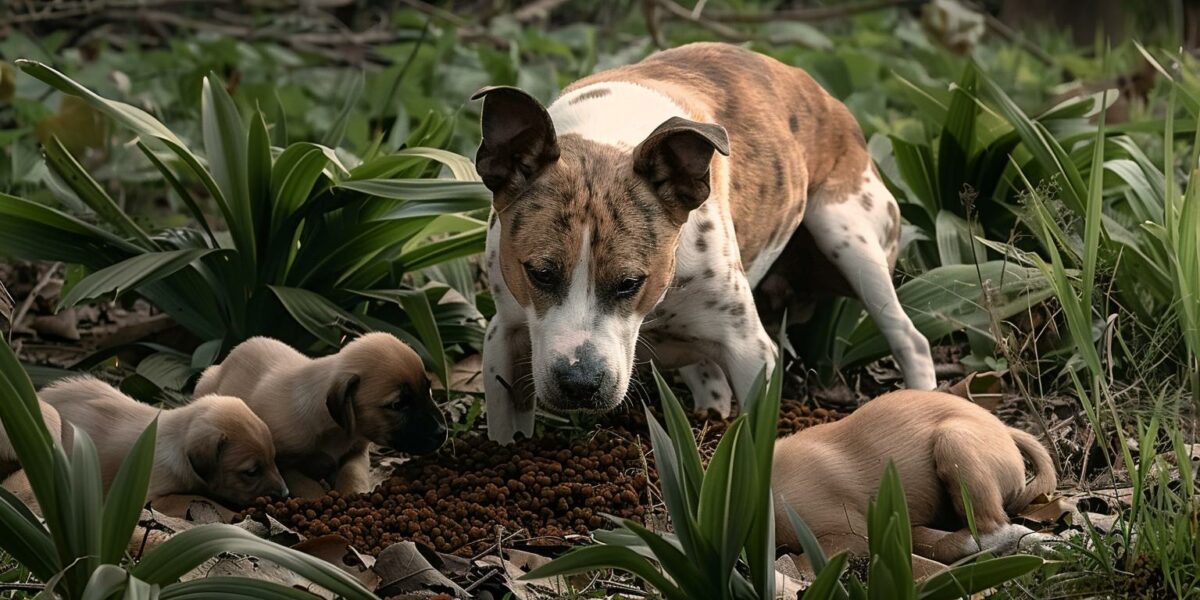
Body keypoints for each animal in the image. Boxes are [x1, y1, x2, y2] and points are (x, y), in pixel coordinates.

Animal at [196, 333, 451, 496]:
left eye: (428, 389)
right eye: (398, 405)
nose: (442, 432)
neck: (336, 432)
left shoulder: (357, 451)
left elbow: (353, 473)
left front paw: (353, 494)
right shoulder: (282, 462)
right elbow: (305, 485)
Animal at [477, 42, 936, 444]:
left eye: (630, 283)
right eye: (539, 273)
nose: (579, 382)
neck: (607, 139)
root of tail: (829, 99)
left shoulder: (751, 352)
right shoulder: (503, 338)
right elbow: (503, 432)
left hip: (848, 234)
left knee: (908, 336)